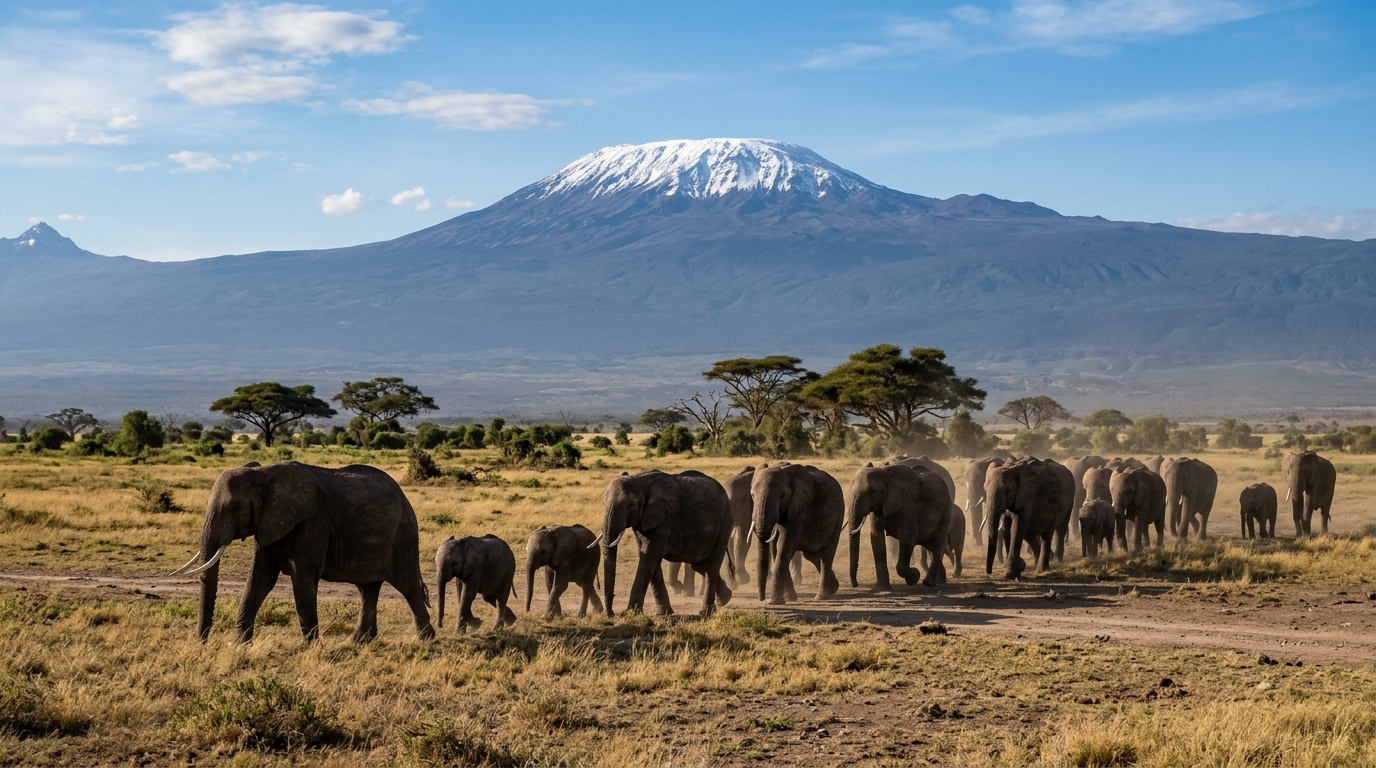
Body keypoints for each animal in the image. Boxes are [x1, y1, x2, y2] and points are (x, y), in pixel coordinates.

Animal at [171, 461, 433, 644]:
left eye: (235, 508)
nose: (203, 643)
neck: (263, 473)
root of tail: (404, 496)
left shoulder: (312, 523)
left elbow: (302, 578)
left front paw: (310, 648)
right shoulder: (268, 524)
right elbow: (260, 579)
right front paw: (240, 645)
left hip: (402, 533)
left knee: (408, 586)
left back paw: (425, 640)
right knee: (367, 588)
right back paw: (358, 642)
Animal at [599, 470, 733, 617]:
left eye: (630, 505)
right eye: (603, 503)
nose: (611, 614)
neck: (639, 480)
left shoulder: (664, 518)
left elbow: (649, 556)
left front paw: (630, 613)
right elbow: (647, 556)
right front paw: (663, 613)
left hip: (725, 521)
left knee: (711, 565)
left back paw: (706, 612)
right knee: (700, 565)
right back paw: (725, 599)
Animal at [751, 463, 844, 604]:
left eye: (782, 496)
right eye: (752, 495)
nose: (761, 599)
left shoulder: (799, 509)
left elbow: (784, 548)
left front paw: (775, 602)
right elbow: (776, 549)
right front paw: (790, 599)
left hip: (839, 516)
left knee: (827, 555)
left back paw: (821, 597)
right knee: (812, 555)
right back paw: (833, 587)